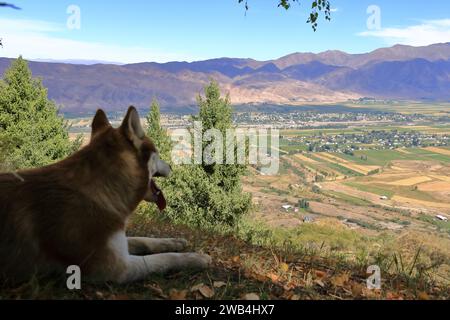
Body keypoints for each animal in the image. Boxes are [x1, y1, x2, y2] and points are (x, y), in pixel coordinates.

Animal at [0, 106, 212, 284]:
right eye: (158, 154)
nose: (171, 166)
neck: (99, 189)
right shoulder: (116, 268)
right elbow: (164, 259)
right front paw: (196, 257)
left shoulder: (117, 242)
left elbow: (143, 240)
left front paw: (173, 241)